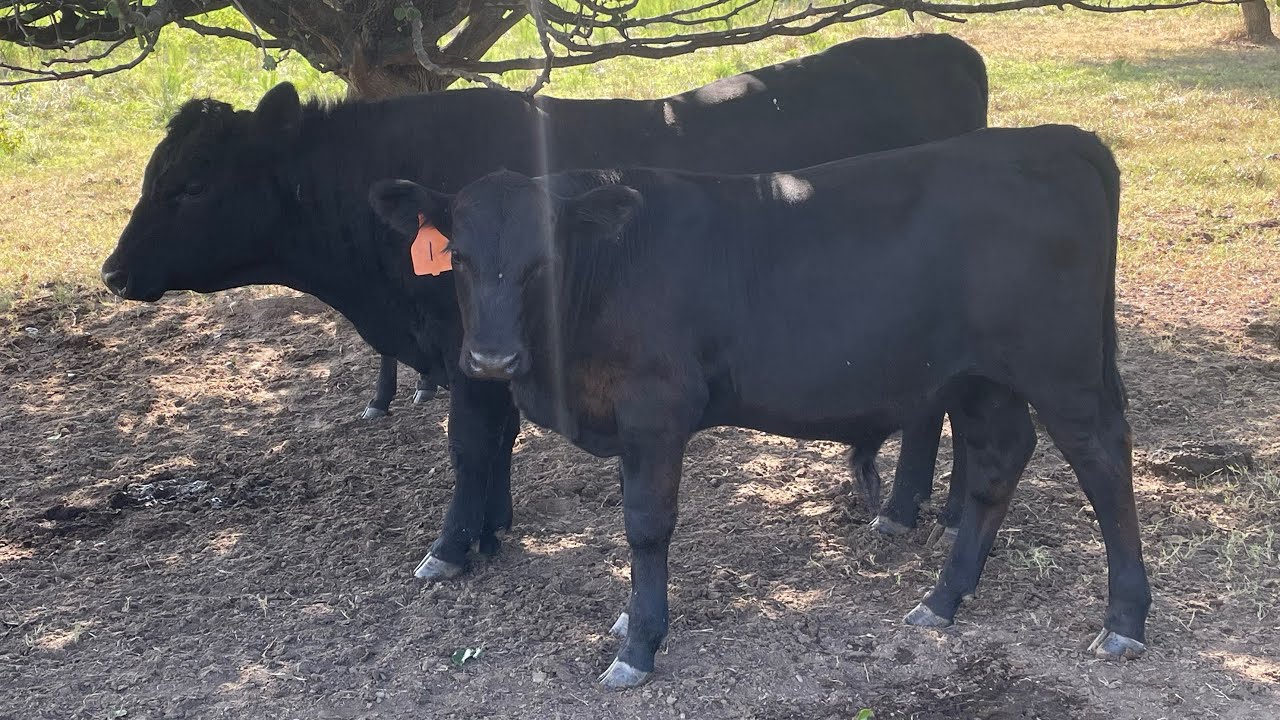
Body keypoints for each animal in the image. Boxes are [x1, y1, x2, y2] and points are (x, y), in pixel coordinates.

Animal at [99, 34, 989, 582]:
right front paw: (491, 531)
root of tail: (941, 49)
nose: (111, 271)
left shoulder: (471, 350)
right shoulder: (488, 354)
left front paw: (451, 548)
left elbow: (468, 446)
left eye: (192, 185)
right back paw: (916, 510)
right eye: (153, 174)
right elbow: (494, 444)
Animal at [366, 123, 1151, 688]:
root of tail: (1058, 138)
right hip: (984, 377)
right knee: (998, 462)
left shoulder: (655, 409)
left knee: (1105, 465)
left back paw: (1126, 620)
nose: (492, 361)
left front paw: (640, 643)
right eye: (458, 258)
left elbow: (645, 525)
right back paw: (943, 599)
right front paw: (628, 619)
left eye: (543, 263)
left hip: (1062, 372)